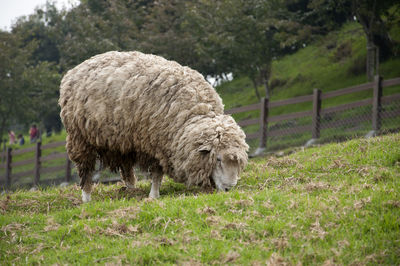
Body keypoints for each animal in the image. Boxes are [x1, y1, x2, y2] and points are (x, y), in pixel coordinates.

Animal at [58, 51, 248, 203]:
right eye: (218, 159)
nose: (229, 188)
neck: (193, 112)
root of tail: (77, 68)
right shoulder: (154, 142)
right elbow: (157, 172)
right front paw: (154, 196)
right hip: (80, 138)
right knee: (85, 168)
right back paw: (86, 197)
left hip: (120, 140)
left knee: (126, 167)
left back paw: (131, 189)